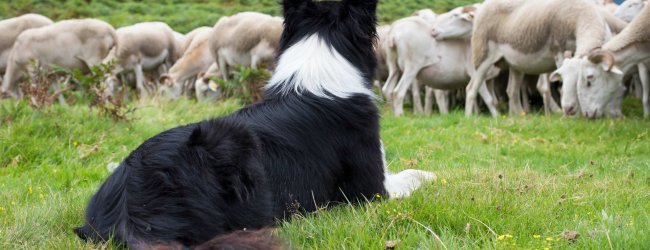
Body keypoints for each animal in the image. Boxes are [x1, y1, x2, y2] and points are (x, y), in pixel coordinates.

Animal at [466, 0, 612, 116]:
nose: (568, 109)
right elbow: (562, 89)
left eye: (589, 80)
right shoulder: (559, 52)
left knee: (512, 91)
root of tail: (481, 7)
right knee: (471, 88)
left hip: (514, 63)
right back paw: (470, 118)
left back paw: (519, 117)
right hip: (482, 55)